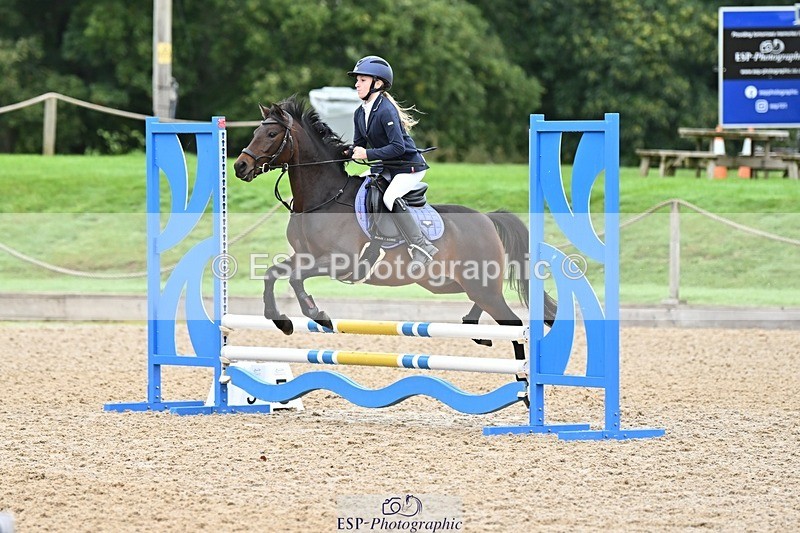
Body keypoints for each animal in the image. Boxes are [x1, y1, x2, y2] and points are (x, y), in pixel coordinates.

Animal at [232, 96, 557, 361]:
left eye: (272, 134)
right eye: (255, 132)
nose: (239, 167)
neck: (324, 198)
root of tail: (487, 219)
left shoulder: (340, 262)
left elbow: (296, 278)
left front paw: (318, 315)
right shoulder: (305, 256)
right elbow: (273, 274)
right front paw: (280, 320)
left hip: (478, 283)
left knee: (512, 322)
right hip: (451, 283)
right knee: (485, 304)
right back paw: (474, 327)